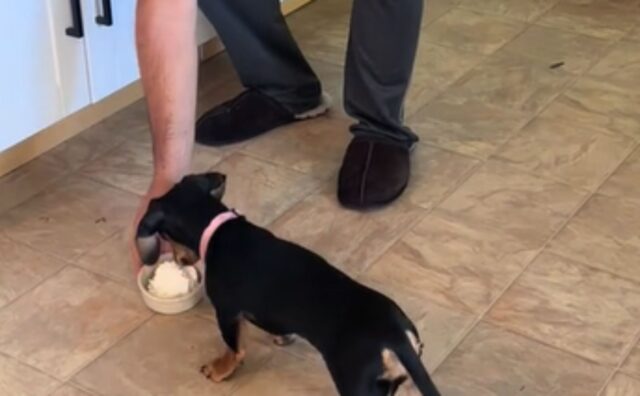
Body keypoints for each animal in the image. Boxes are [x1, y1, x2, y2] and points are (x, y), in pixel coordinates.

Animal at [135, 172, 440, 396]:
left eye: (165, 236)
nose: (180, 261)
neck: (219, 228)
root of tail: (396, 336)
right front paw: (283, 337)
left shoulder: (227, 311)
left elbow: (234, 347)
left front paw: (220, 369)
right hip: (384, 385)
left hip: (355, 384)